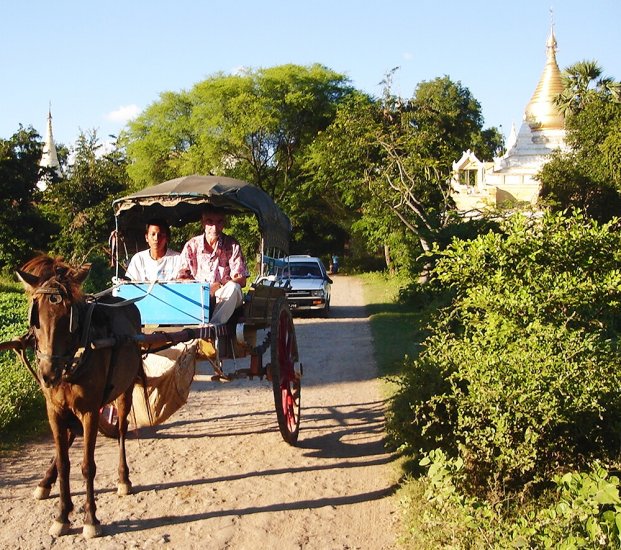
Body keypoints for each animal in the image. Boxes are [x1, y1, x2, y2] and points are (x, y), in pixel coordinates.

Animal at [17, 256, 144, 540]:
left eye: (70, 318)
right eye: (35, 318)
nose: (48, 374)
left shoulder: (89, 411)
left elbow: (87, 465)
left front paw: (90, 518)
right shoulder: (53, 409)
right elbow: (65, 462)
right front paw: (62, 515)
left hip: (125, 389)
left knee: (122, 430)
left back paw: (123, 479)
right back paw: (45, 482)